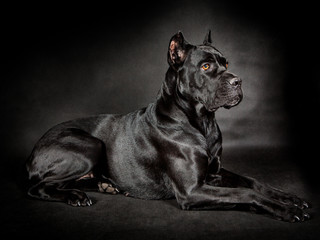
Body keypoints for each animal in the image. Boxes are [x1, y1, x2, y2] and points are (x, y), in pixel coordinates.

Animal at [26, 31, 312, 222]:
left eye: (226, 64)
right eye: (206, 66)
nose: (238, 81)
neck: (201, 121)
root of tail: (32, 152)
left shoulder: (215, 172)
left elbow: (252, 182)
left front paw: (290, 198)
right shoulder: (191, 191)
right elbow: (245, 193)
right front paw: (286, 209)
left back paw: (107, 186)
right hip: (90, 145)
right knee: (37, 187)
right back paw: (76, 196)